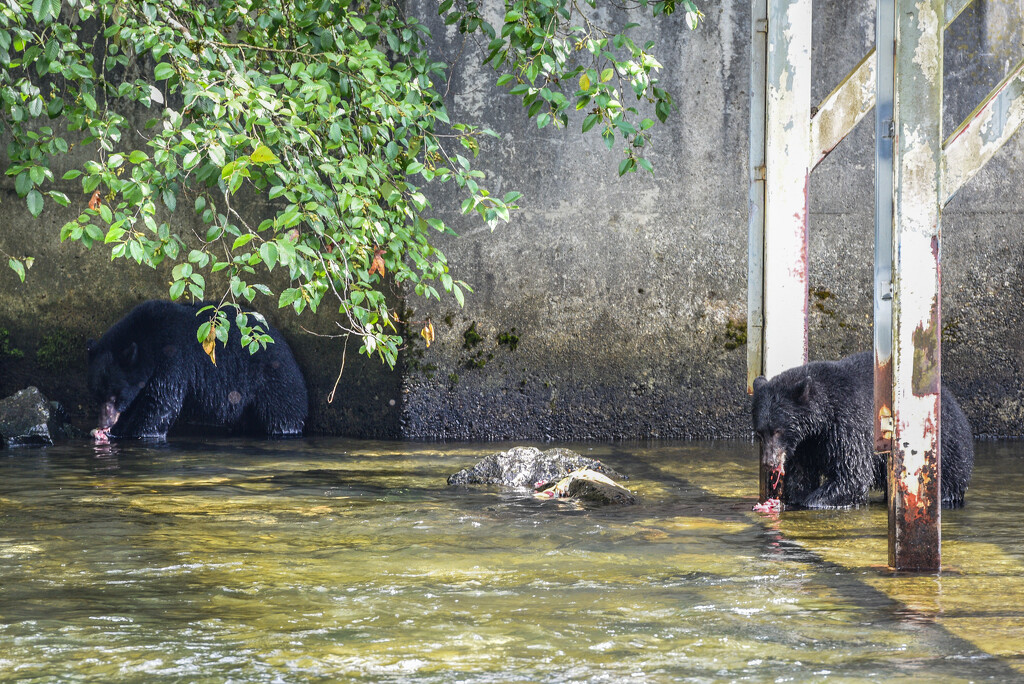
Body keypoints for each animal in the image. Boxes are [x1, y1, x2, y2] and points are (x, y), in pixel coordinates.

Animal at [87, 301, 307, 440]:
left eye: (115, 397)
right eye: (97, 396)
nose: (104, 423)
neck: (148, 340)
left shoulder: (172, 358)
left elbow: (161, 403)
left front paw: (124, 432)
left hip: (275, 382)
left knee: (283, 415)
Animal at [753, 352, 974, 507]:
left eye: (777, 430)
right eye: (760, 432)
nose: (768, 462)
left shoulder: (849, 425)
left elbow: (852, 473)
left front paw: (812, 501)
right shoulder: (804, 444)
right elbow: (801, 475)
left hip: (944, 448)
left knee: (947, 480)